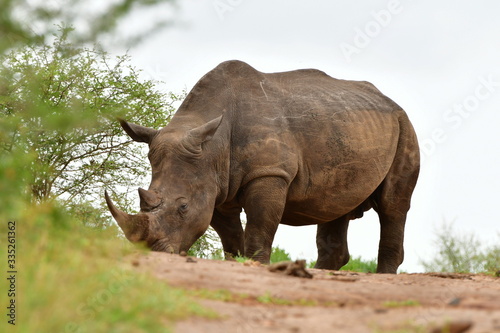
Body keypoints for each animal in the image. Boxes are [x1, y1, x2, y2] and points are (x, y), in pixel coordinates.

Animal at [105, 59, 418, 272]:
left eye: (183, 207)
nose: (153, 254)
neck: (212, 147)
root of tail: (389, 101)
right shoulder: (216, 186)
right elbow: (231, 237)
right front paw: (236, 262)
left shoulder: (269, 174)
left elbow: (259, 229)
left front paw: (258, 265)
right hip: (346, 128)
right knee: (334, 204)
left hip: (403, 125)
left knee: (393, 205)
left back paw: (383, 274)